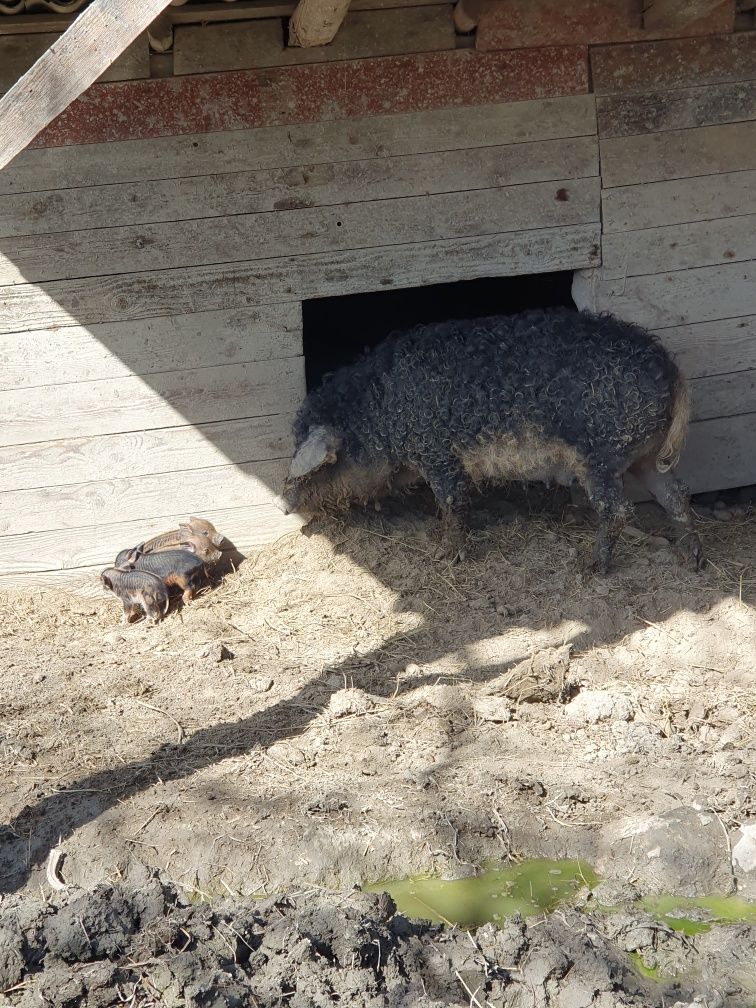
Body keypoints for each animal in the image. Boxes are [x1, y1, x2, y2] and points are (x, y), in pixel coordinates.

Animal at [280, 306, 705, 576]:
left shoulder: (438, 453)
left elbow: (453, 503)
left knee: (618, 510)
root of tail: (671, 369)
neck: (381, 412)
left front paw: (447, 557)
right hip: (645, 456)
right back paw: (692, 560)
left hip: (601, 456)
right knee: (677, 494)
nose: (283, 505)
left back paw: (592, 568)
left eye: (322, 466)